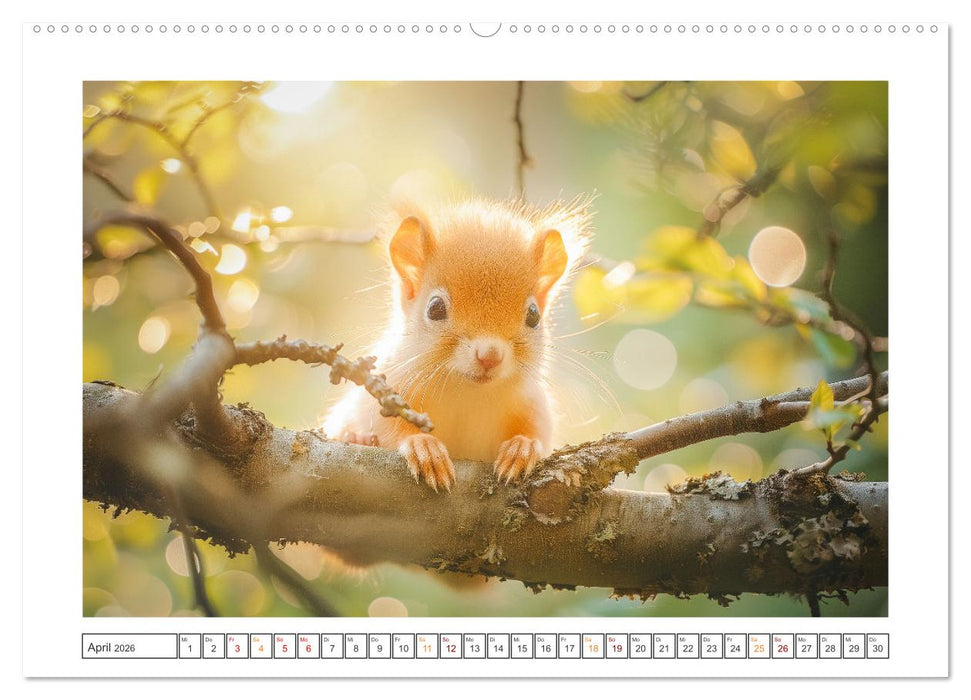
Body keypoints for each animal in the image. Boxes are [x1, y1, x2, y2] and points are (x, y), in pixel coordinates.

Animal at [323, 197, 592, 492]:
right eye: (435, 308)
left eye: (534, 315)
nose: (489, 355)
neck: (467, 393)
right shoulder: (386, 390)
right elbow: (389, 428)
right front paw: (423, 448)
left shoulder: (531, 404)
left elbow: (538, 433)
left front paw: (523, 448)